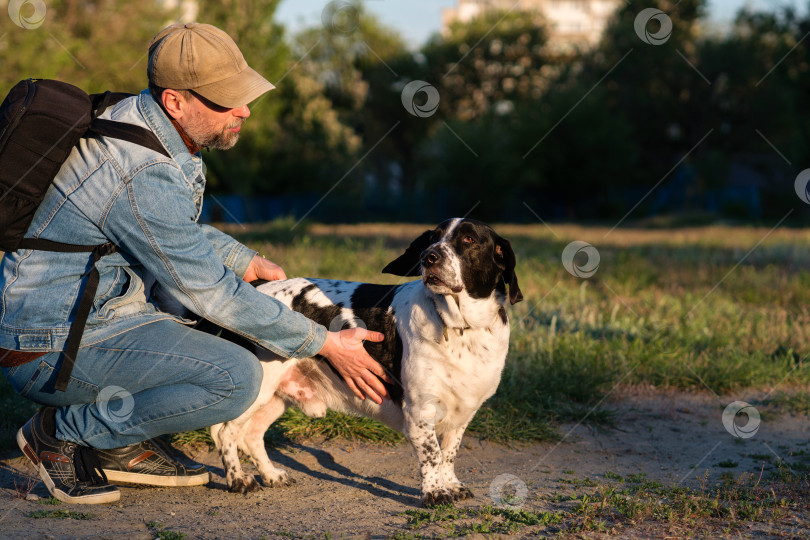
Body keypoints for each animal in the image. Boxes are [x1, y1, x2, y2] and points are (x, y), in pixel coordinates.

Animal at [211, 216, 520, 506]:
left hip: (276, 396)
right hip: (259, 387)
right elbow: (432, 455)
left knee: (251, 435)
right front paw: (435, 493)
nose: (428, 257)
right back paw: (238, 480)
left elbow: (449, 453)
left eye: (468, 239)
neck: (460, 328)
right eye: (433, 238)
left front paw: (451, 485)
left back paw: (272, 475)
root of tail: (257, 286)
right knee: (226, 432)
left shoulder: (463, 411)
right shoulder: (420, 411)